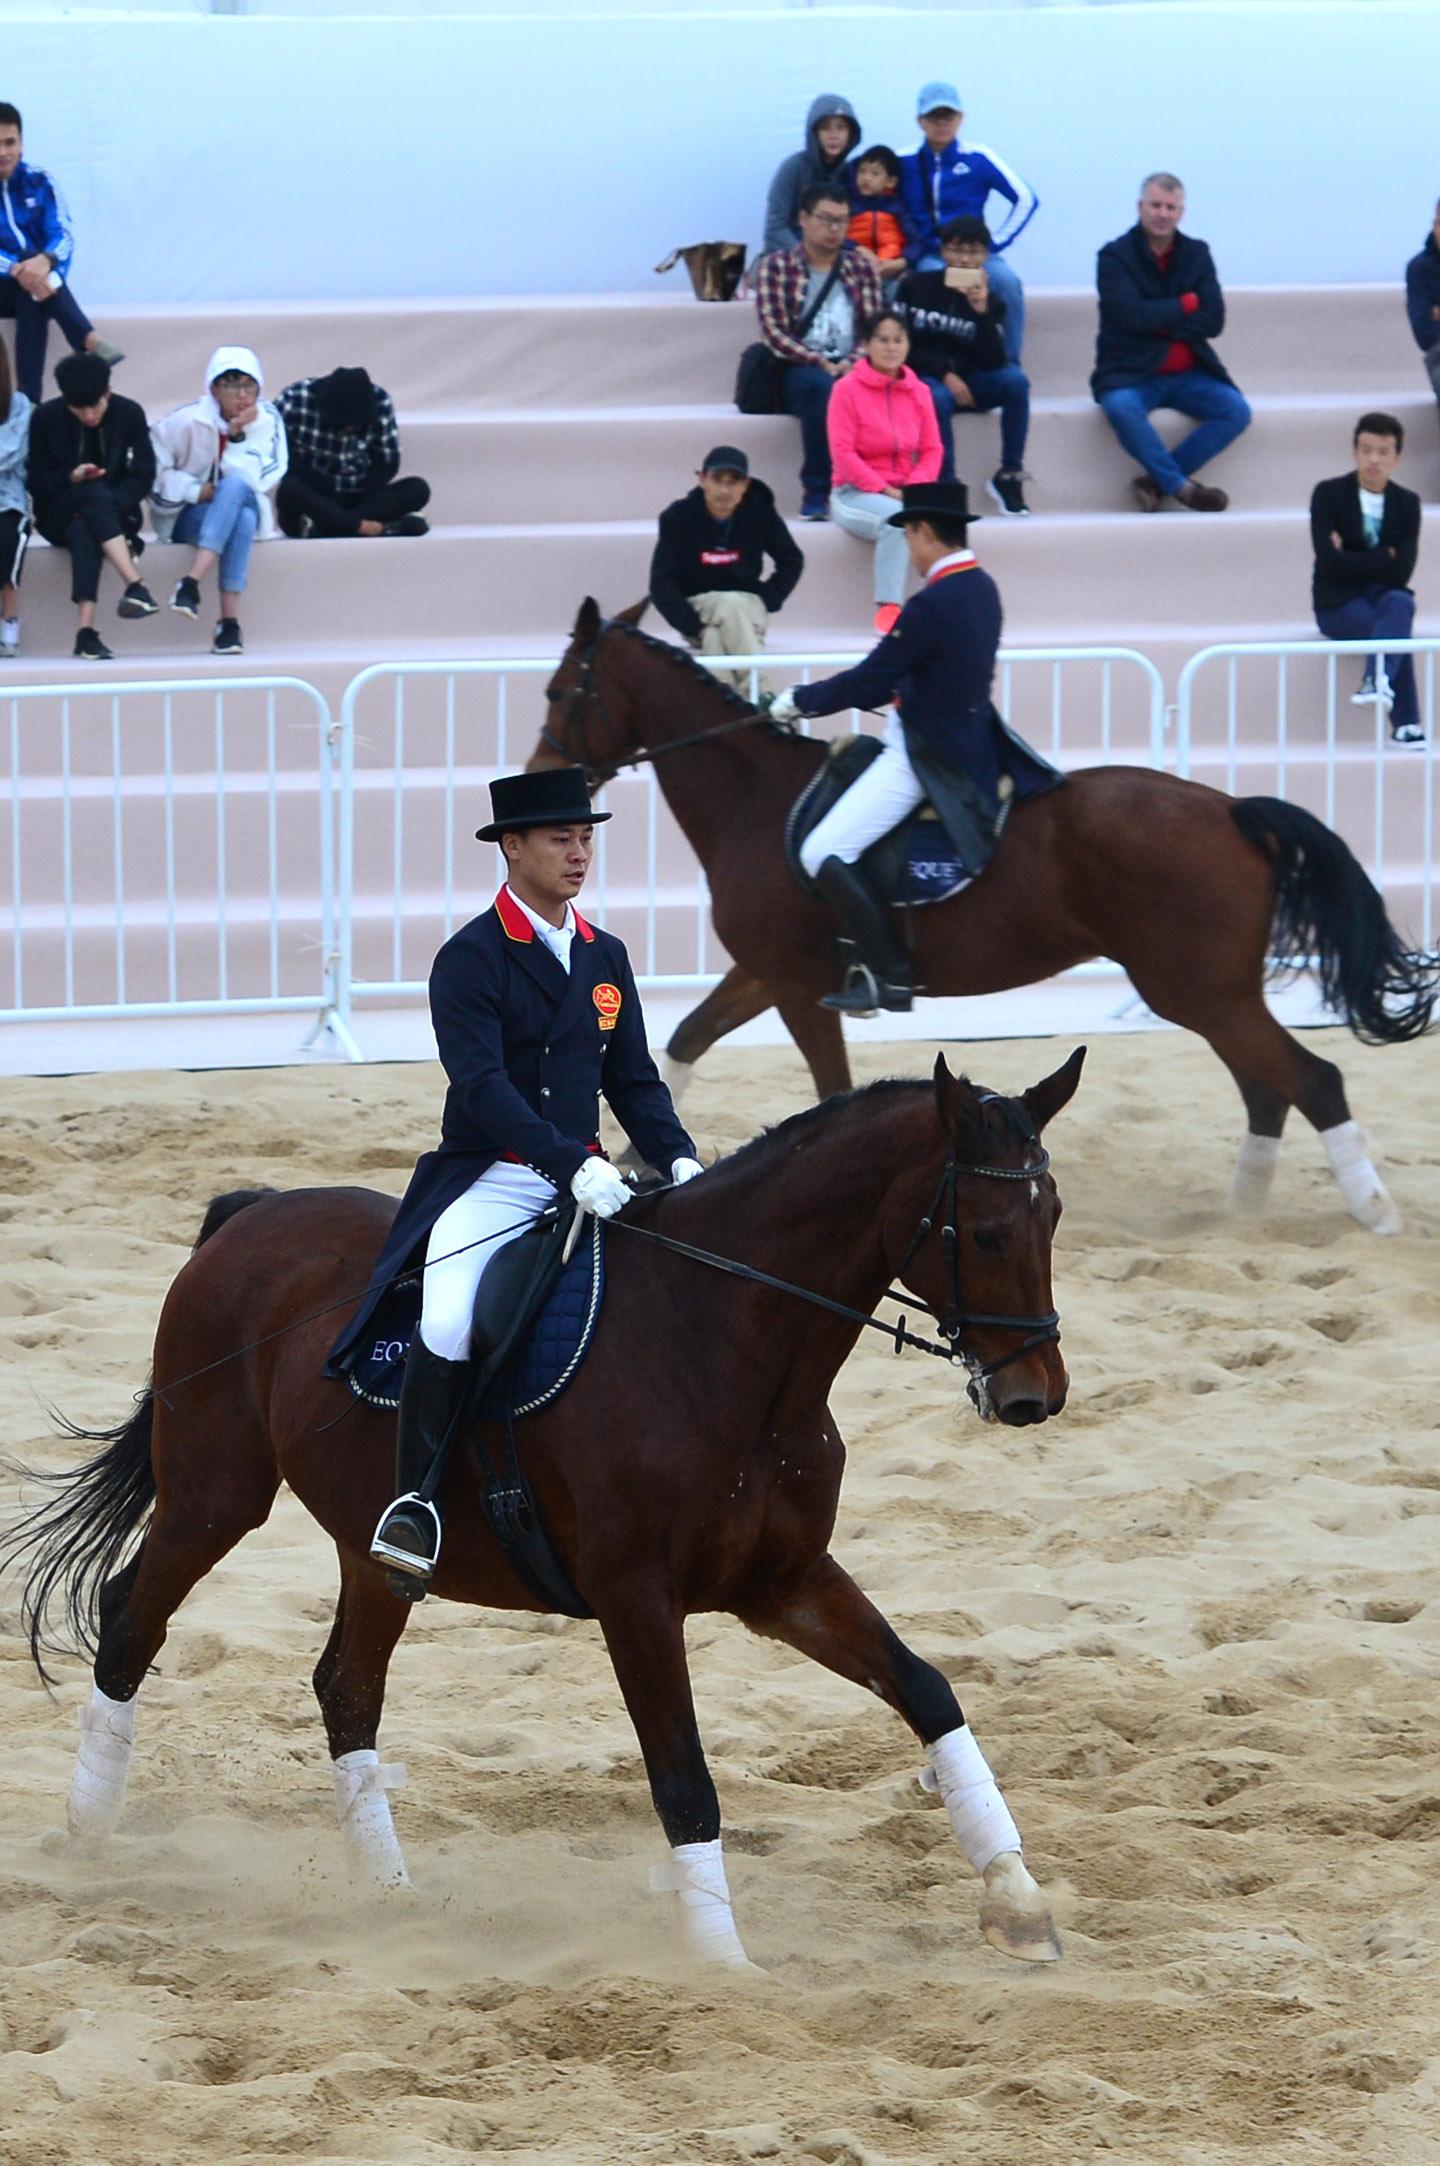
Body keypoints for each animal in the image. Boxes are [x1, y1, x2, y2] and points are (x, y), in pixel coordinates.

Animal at [532, 602, 1429, 1238]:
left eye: (559, 690)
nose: (541, 776)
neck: (753, 799)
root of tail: (1234, 809)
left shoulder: (795, 985)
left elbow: (828, 1090)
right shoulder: (769, 972)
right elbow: (687, 1039)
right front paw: (637, 1166)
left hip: (1198, 991)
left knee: (1313, 1080)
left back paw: (1374, 1214)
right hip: (1211, 994)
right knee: (1268, 1089)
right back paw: (1238, 1220)